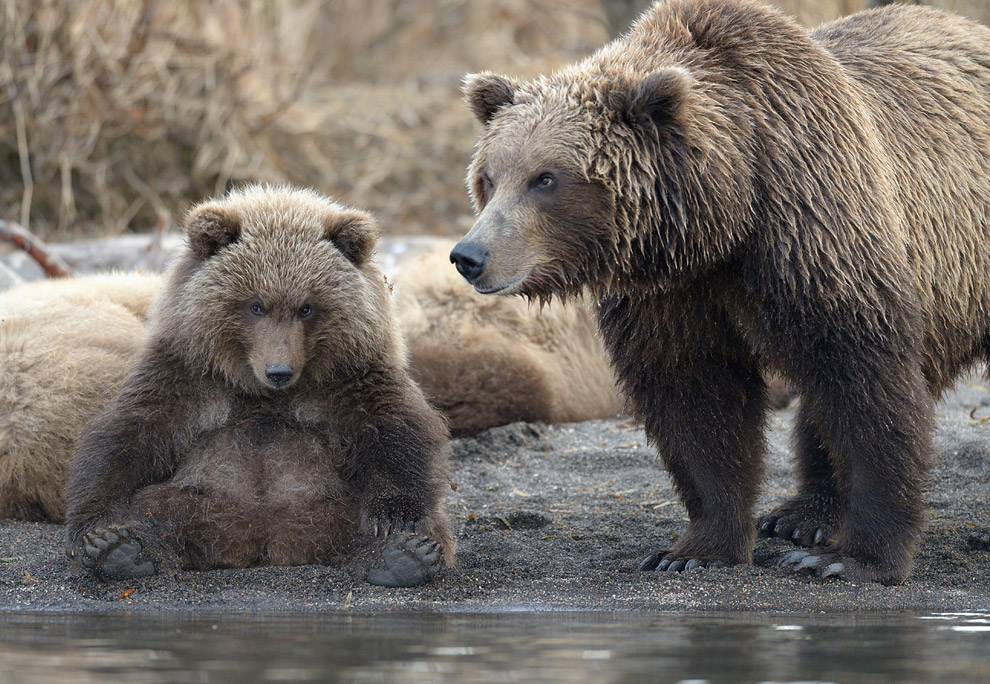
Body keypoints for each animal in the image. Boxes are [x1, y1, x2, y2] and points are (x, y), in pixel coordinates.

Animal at [64, 185, 453, 586]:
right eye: (255, 305)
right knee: (154, 509)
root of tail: (262, 534)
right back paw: (123, 550)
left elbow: (392, 432)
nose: (279, 370)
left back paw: (402, 555)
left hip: (333, 501)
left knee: (392, 520)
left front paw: (393, 520)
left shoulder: (350, 378)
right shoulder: (189, 374)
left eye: (306, 307)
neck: (261, 392)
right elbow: (132, 433)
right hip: (195, 497)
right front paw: (97, 527)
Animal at [449, 0, 990, 584]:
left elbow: (864, 378)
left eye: (545, 178)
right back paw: (802, 516)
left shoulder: (812, 229)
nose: (469, 255)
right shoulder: (671, 294)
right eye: (489, 177)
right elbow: (697, 402)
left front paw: (852, 557)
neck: (726, 215)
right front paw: (695, 548)